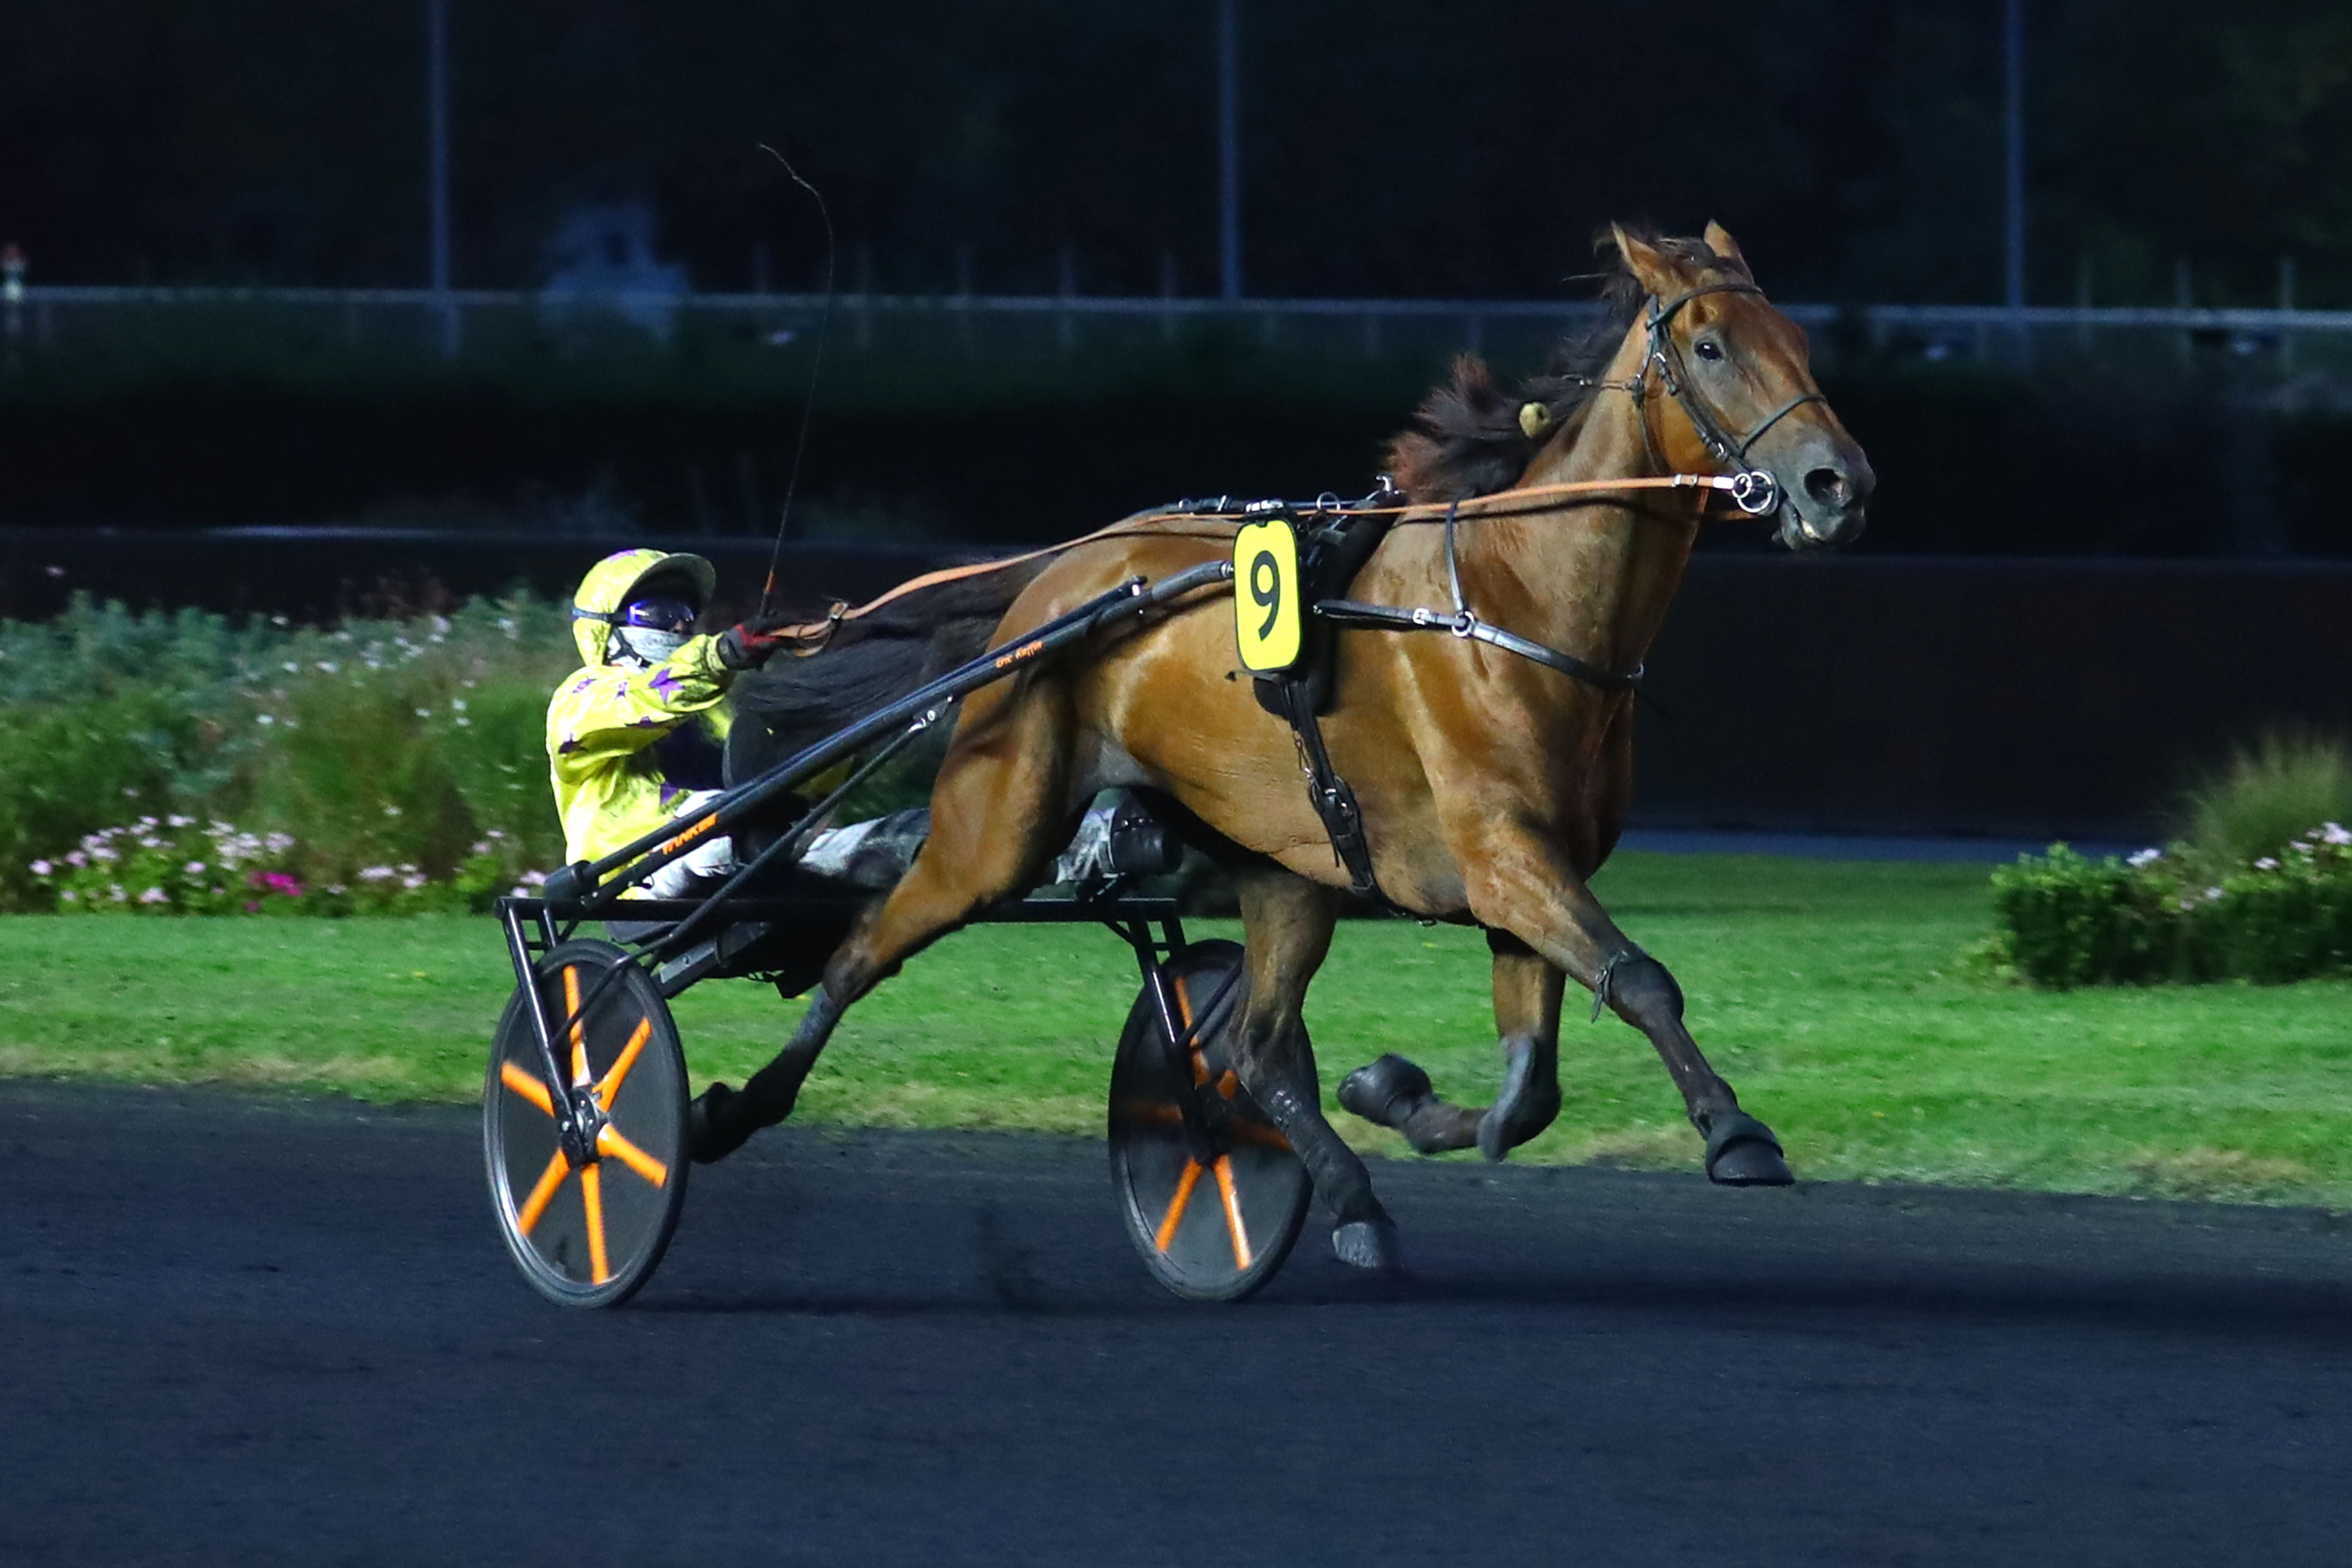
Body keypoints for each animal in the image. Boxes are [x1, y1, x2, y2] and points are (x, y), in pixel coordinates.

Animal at [710, 227, 1872, 1269]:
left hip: (1285, 869)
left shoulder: (1526, 873)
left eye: (1797, 340)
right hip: (994, 830)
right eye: (1712, 347)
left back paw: (1349, 1199)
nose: (1839, 483)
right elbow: (1639, 981)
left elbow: (1527, 1089)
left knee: (1256, 1050)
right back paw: (731, 1108)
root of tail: (1056, 581)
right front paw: (1736, 1133)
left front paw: (1393, 1094)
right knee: (864, 948)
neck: (1513, 599)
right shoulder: (1505, 855)